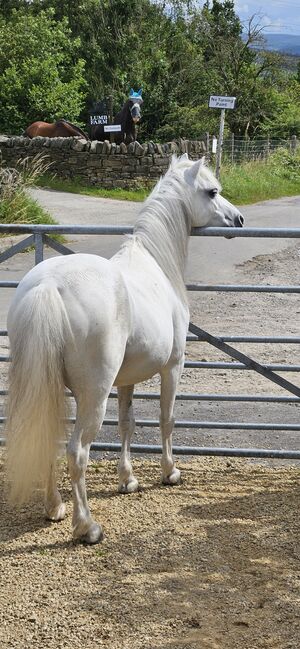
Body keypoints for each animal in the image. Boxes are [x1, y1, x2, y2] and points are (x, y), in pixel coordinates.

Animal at [5, 153, 244, 540]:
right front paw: (169, 473)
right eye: (212, 191)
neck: (155, 263)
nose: (238, 218)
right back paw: (87, 526)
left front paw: (127, 480)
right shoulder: (173, 366)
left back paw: (54, 508)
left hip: (51, 387)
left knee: (50, 438)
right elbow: (166, 418)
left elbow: (127, 424)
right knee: (77, 452)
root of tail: (48, 286)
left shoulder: (126, 380)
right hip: (94, 395)